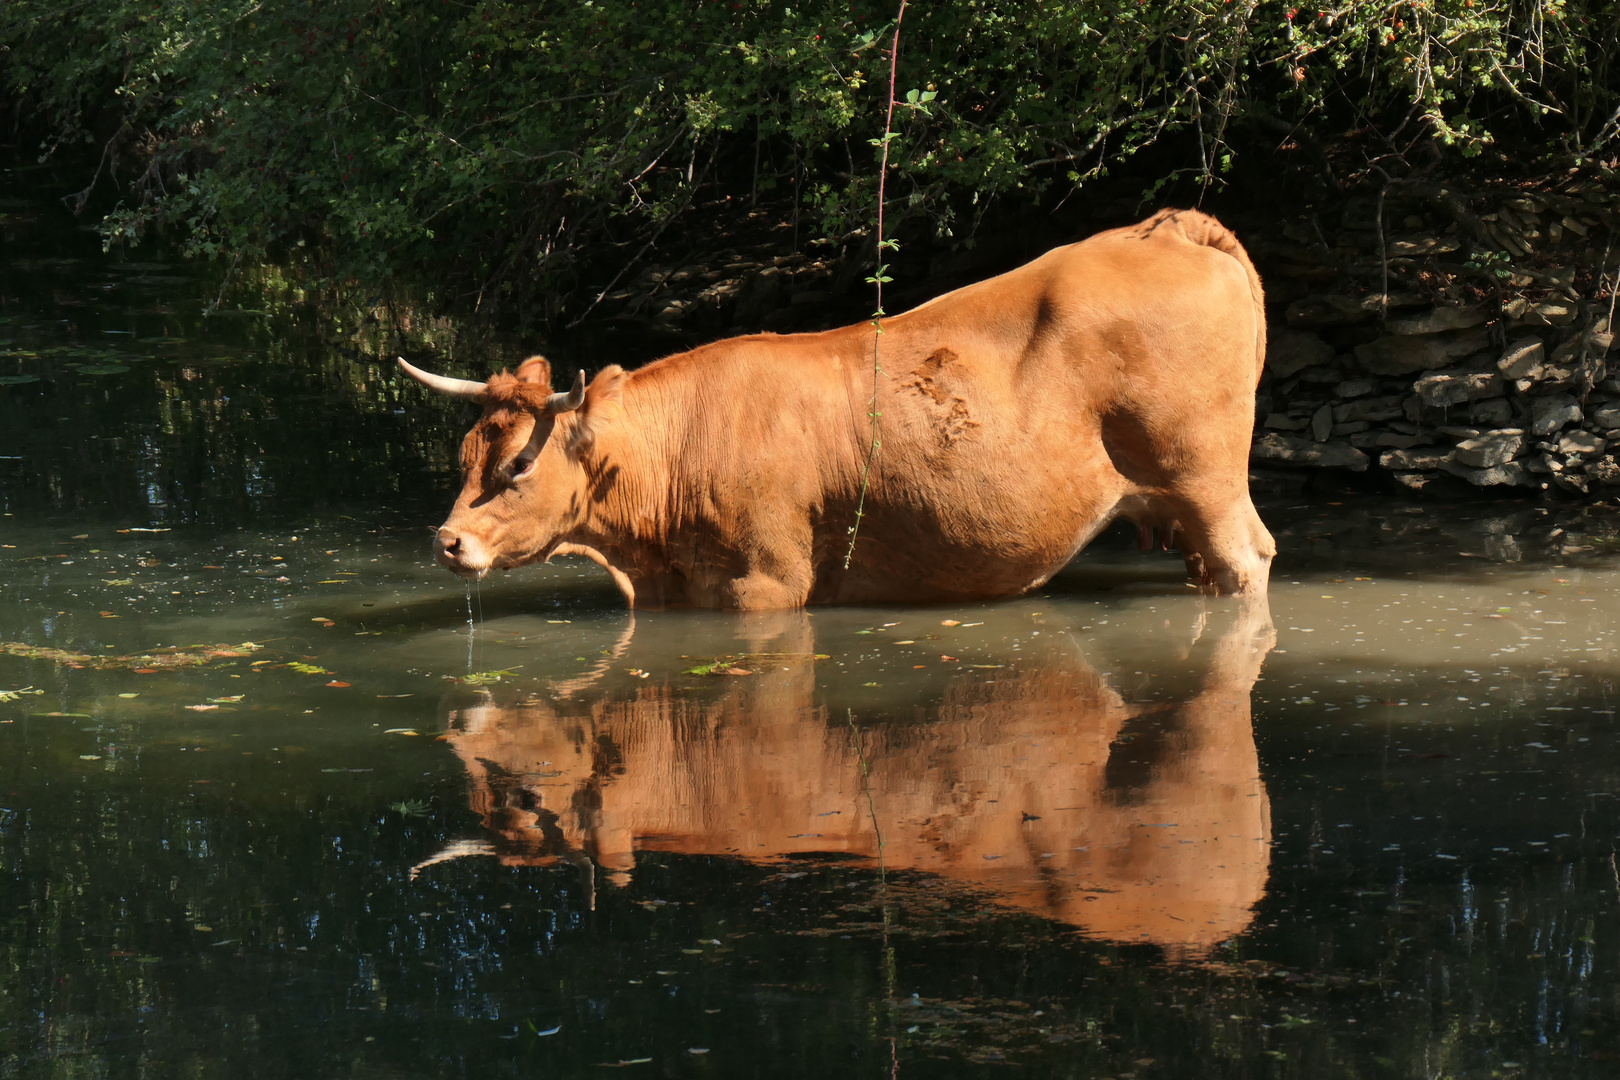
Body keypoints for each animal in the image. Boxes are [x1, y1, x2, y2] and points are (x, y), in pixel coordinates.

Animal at [398, 207, 1270, 605]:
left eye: (516, 466)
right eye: (465, 455)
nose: (445, 540)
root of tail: (1168, 227)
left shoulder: (766, 580)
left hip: (1207, 479)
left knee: (1247, 560)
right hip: (1184, 501)